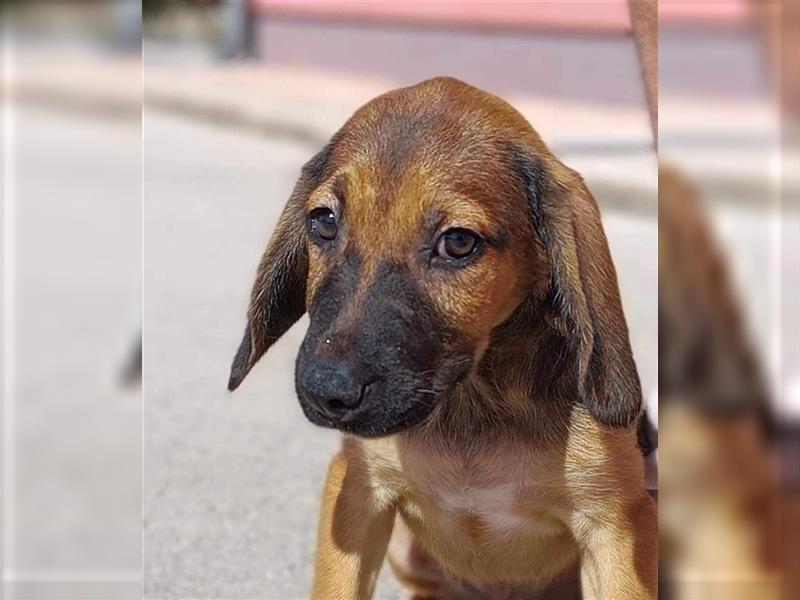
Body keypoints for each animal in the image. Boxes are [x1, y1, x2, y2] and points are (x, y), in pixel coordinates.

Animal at [228, 78, 652, 600]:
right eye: (324, 221)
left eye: (458, 242)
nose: (326, 392)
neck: (473, 406)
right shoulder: (356, 493)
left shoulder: (615, 525)